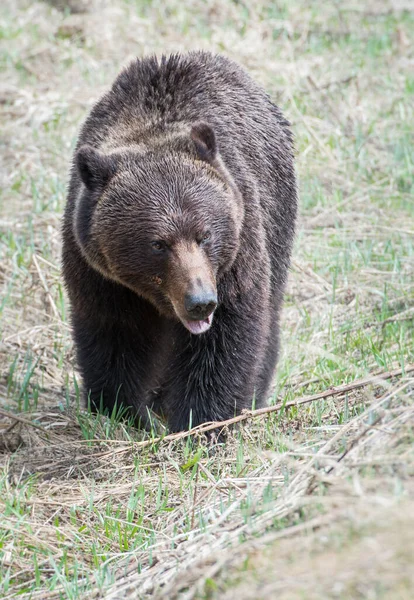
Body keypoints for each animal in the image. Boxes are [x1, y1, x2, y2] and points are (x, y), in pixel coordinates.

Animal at [61, 49, 298, 428]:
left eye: (205, 235)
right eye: (158, 243)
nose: (200, 301)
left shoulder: (236, 253)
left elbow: (223, 342)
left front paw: (203, 421)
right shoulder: (99, 272)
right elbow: (115, 335)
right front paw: (119, 410)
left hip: (277, 214)